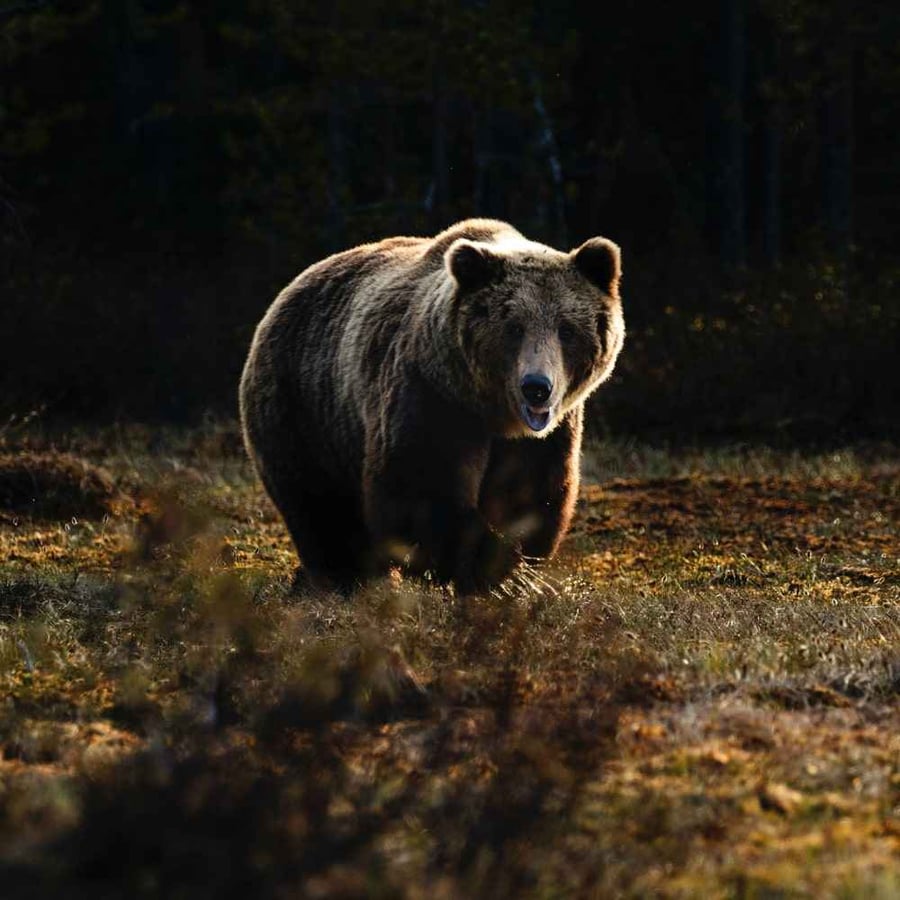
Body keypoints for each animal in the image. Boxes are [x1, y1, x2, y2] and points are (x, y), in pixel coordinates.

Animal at [239, 219, 624, 594]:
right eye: (513, 327)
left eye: (566, 329)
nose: (537, 388)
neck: (492, 411)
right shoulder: (431, 396)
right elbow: (420, 487)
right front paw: (492, 570)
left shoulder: (544, 436)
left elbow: (530, 494)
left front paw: (513, 570)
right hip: (304, 407)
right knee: (320, 506)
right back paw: (343, 577)